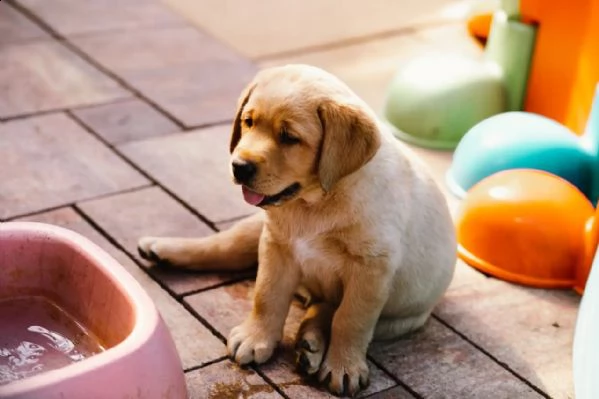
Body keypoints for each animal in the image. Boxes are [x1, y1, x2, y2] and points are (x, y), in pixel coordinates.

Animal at [141, 65, 458, 396]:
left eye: (289, 137)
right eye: (248, 122)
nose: (239, 166)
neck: (316, 201)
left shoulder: (371, 267)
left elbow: (351, 319)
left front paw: (343, 366)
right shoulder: (276, 243)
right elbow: (266, 295)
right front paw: (256, 338)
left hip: (400, 319)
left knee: (328, 310)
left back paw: (311, 344)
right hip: (254, 231)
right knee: (222, 246)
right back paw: (162, 248)